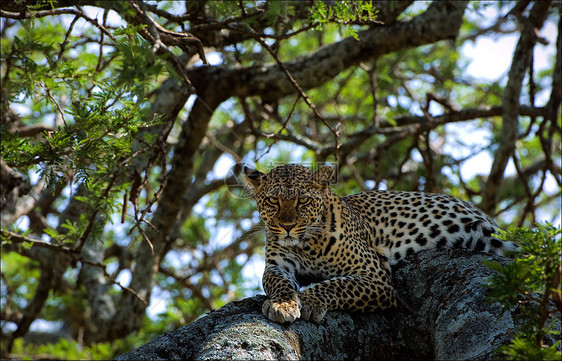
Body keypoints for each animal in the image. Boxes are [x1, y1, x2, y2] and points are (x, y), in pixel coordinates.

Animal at [243, 163, 520, 324]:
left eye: (303, 201)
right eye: (273, 201)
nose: (287, 226)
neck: (307, 244)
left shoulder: (376, 278)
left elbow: (337, 285)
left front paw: (309, 300)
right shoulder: (278, 265)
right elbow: (275, 281)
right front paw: (282, 304)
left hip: (488, 234)